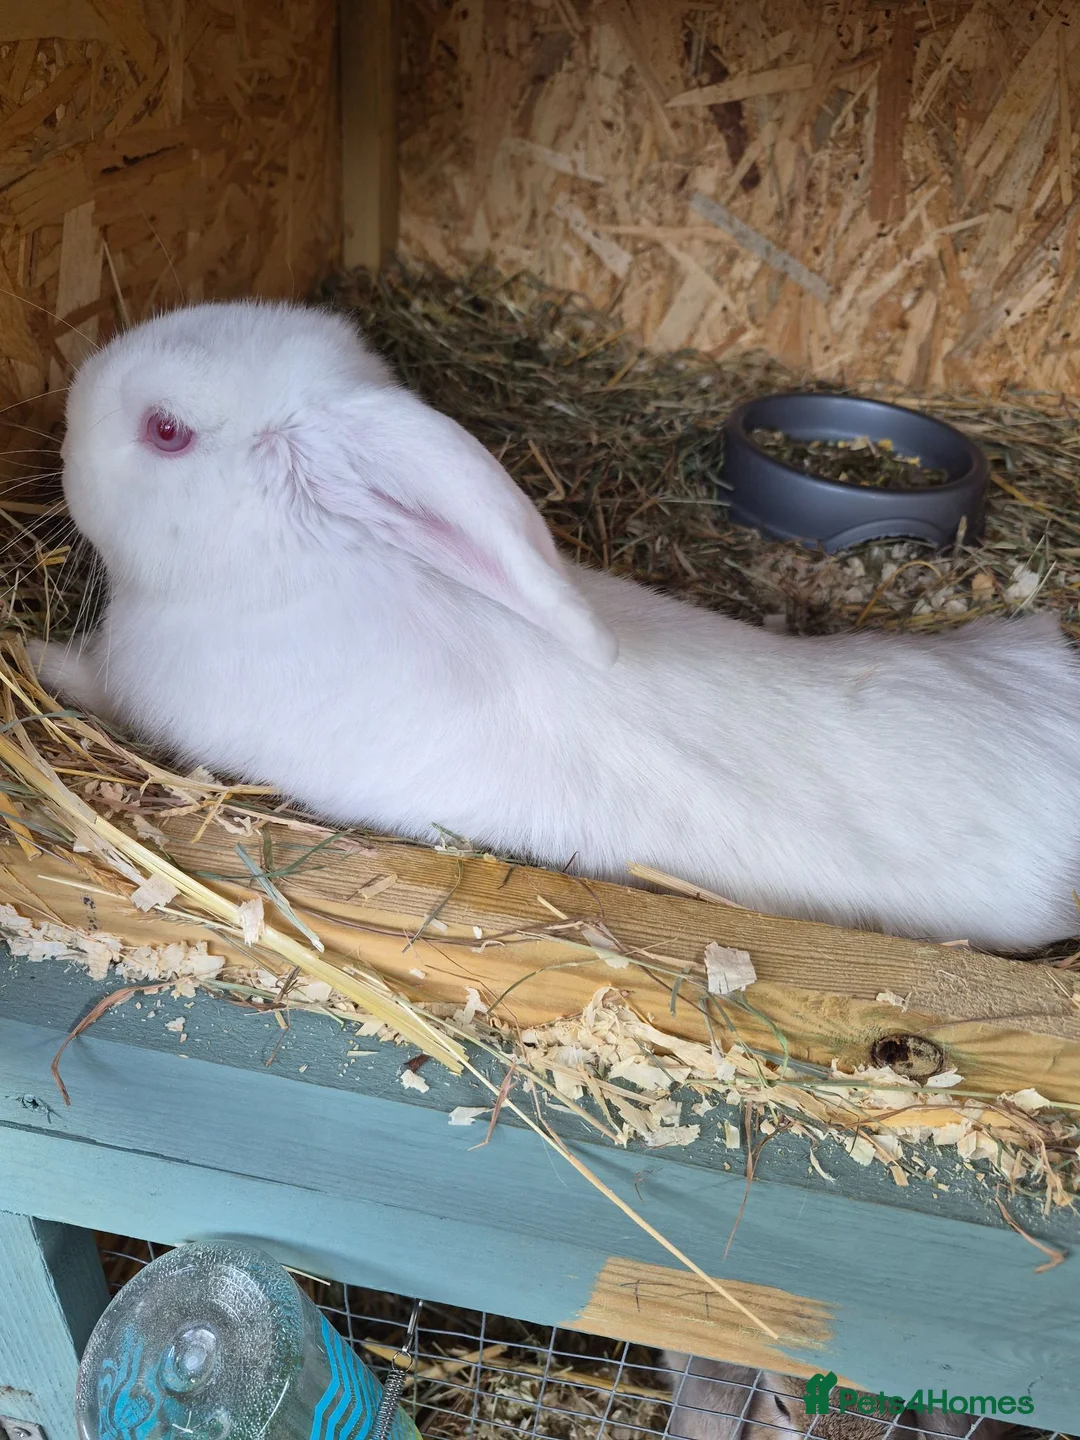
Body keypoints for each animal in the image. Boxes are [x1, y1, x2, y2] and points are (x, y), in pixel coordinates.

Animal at [29, 299, 1080, 954]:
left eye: (166, 430)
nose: (69, 415)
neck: (295, 553)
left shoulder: (144, 693)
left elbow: (88, 680)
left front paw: (33, 654)